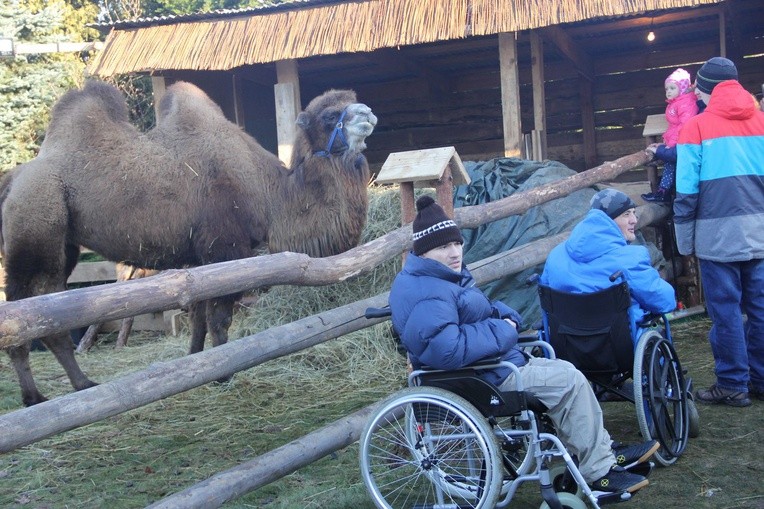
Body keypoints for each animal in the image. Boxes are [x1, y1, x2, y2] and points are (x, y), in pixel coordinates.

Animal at [0, 79, 376, 404]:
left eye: (351, 100)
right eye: (330, 116)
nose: (369, 113)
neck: (271, 196)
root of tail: (13, 179)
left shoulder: (199, 259)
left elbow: (197, 315)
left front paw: (193, 363)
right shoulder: (225, 251)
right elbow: (219, 319)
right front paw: (224, 373)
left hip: (64, 246)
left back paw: (69, 387)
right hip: (36, 230)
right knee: (30, 316)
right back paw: (46, 394)